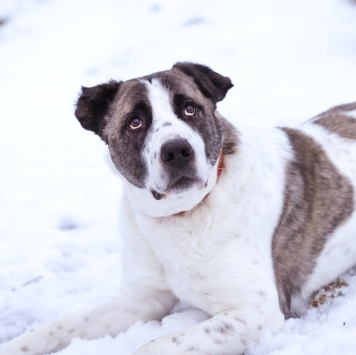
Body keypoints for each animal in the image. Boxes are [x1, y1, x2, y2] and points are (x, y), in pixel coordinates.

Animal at [2, 62, 356, 354]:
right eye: (135, 122)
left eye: (189, 109)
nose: (176, 150)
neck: (180, 216)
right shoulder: (140, 300)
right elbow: (57, 327)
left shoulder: (256, 312)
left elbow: (153, 347)